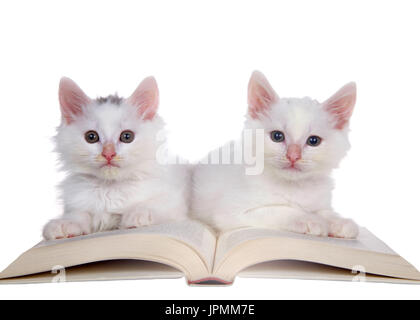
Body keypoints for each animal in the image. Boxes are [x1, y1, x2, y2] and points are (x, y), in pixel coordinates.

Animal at [43, 76, 189, 239]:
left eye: (127, 136)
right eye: (91, 137)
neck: (110, 187)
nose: (108, 153)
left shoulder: (175, 204)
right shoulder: (76, 204)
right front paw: (64, 224)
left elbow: (155, 206)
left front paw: (139, 214)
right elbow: (79, 214)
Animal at [192, 71, 360, 239]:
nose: (293, 156)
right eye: (277, 136)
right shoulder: (232, 212)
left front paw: (339, 222)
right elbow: (281, 210)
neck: (293, 187)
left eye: (313, 141)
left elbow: (324, 211)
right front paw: (311, 220)